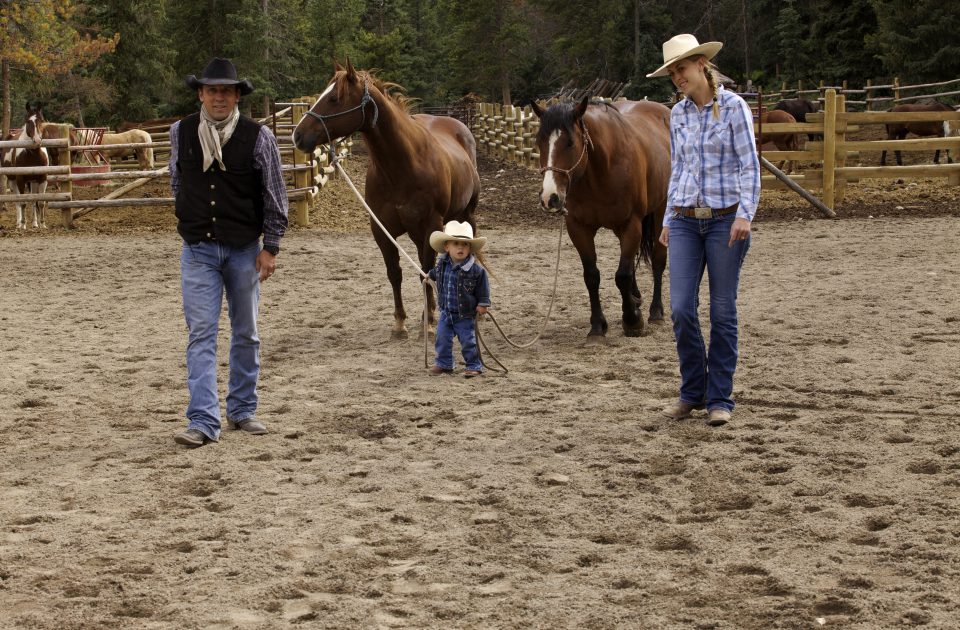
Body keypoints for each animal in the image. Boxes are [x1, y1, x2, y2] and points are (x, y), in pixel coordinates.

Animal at [286, 60, 478, 340]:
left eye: (334, 98)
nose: (298, 136)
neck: (403, 166)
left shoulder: (431, 224)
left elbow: (425, 271)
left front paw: (429, 323)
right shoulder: (381, 229)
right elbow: (396, 274)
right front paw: (400, 323)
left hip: (465, 215)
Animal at [528, 97, 672, 346]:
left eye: (570, 142)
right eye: (539, 142)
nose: (549, 197)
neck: (602, 168)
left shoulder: (631, 224)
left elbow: (622, 275)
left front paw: (632, 321)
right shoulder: (579, 229)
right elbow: (592, 276)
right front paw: (597, 326)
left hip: (660, 211)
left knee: (657, 260)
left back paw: (656, 312)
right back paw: (635, 299)